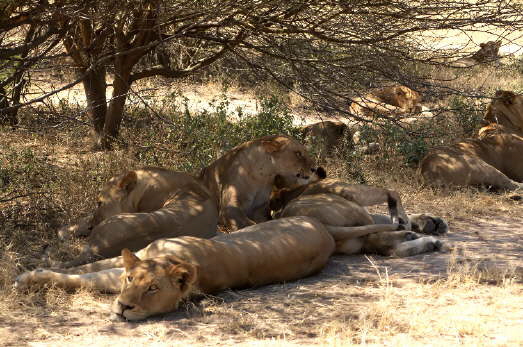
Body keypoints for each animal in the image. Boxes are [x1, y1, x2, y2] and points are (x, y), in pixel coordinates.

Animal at [16, 218, 338, 320]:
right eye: (131, 279)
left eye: (153, 289)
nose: (123, 308)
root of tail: (326, 232)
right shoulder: (137, 256)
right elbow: (89, 265)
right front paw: (41, 264)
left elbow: (85, 278)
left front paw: (30, 277)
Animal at [270, 178, 450, 256]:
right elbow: (391, 199)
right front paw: (415, 222)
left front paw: (431, 222)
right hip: (353, 203)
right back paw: (415, 236)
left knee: (384, 245)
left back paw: (425, 239)